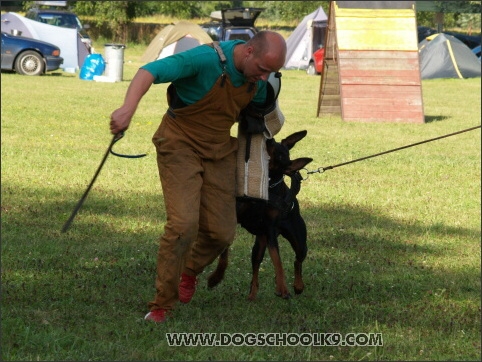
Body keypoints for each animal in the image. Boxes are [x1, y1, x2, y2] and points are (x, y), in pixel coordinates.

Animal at [207, 130, 312, 300]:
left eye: (281, 156)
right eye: (275, 142)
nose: (270, 140)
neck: (266, 185)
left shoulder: (270, 230)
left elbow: (278, 261)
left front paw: (282, 287)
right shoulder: (237, 218)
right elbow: (224, 253)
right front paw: (216, 278)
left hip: (299, 242)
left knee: (298, 261)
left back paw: (298, 286)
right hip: (260, 244)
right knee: (256, 266)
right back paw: (252, 294)